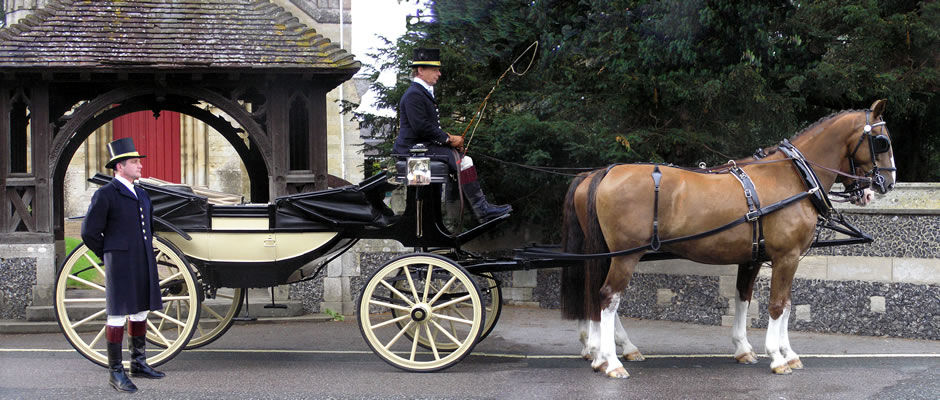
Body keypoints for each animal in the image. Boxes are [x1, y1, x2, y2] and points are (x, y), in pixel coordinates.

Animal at [560, 99, 896, 378]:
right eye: (882, 141)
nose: (886, 185)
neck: (793, 177)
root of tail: (605, 172)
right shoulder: (786, 257)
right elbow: (778, 305)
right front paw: (778, 358)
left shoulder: (753, 258)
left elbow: (754, 300)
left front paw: (756, 350)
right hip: (625, 256)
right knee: (608, 297)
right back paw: (611, 361)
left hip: (608, 255)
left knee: (599, 296)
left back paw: (604, 356)